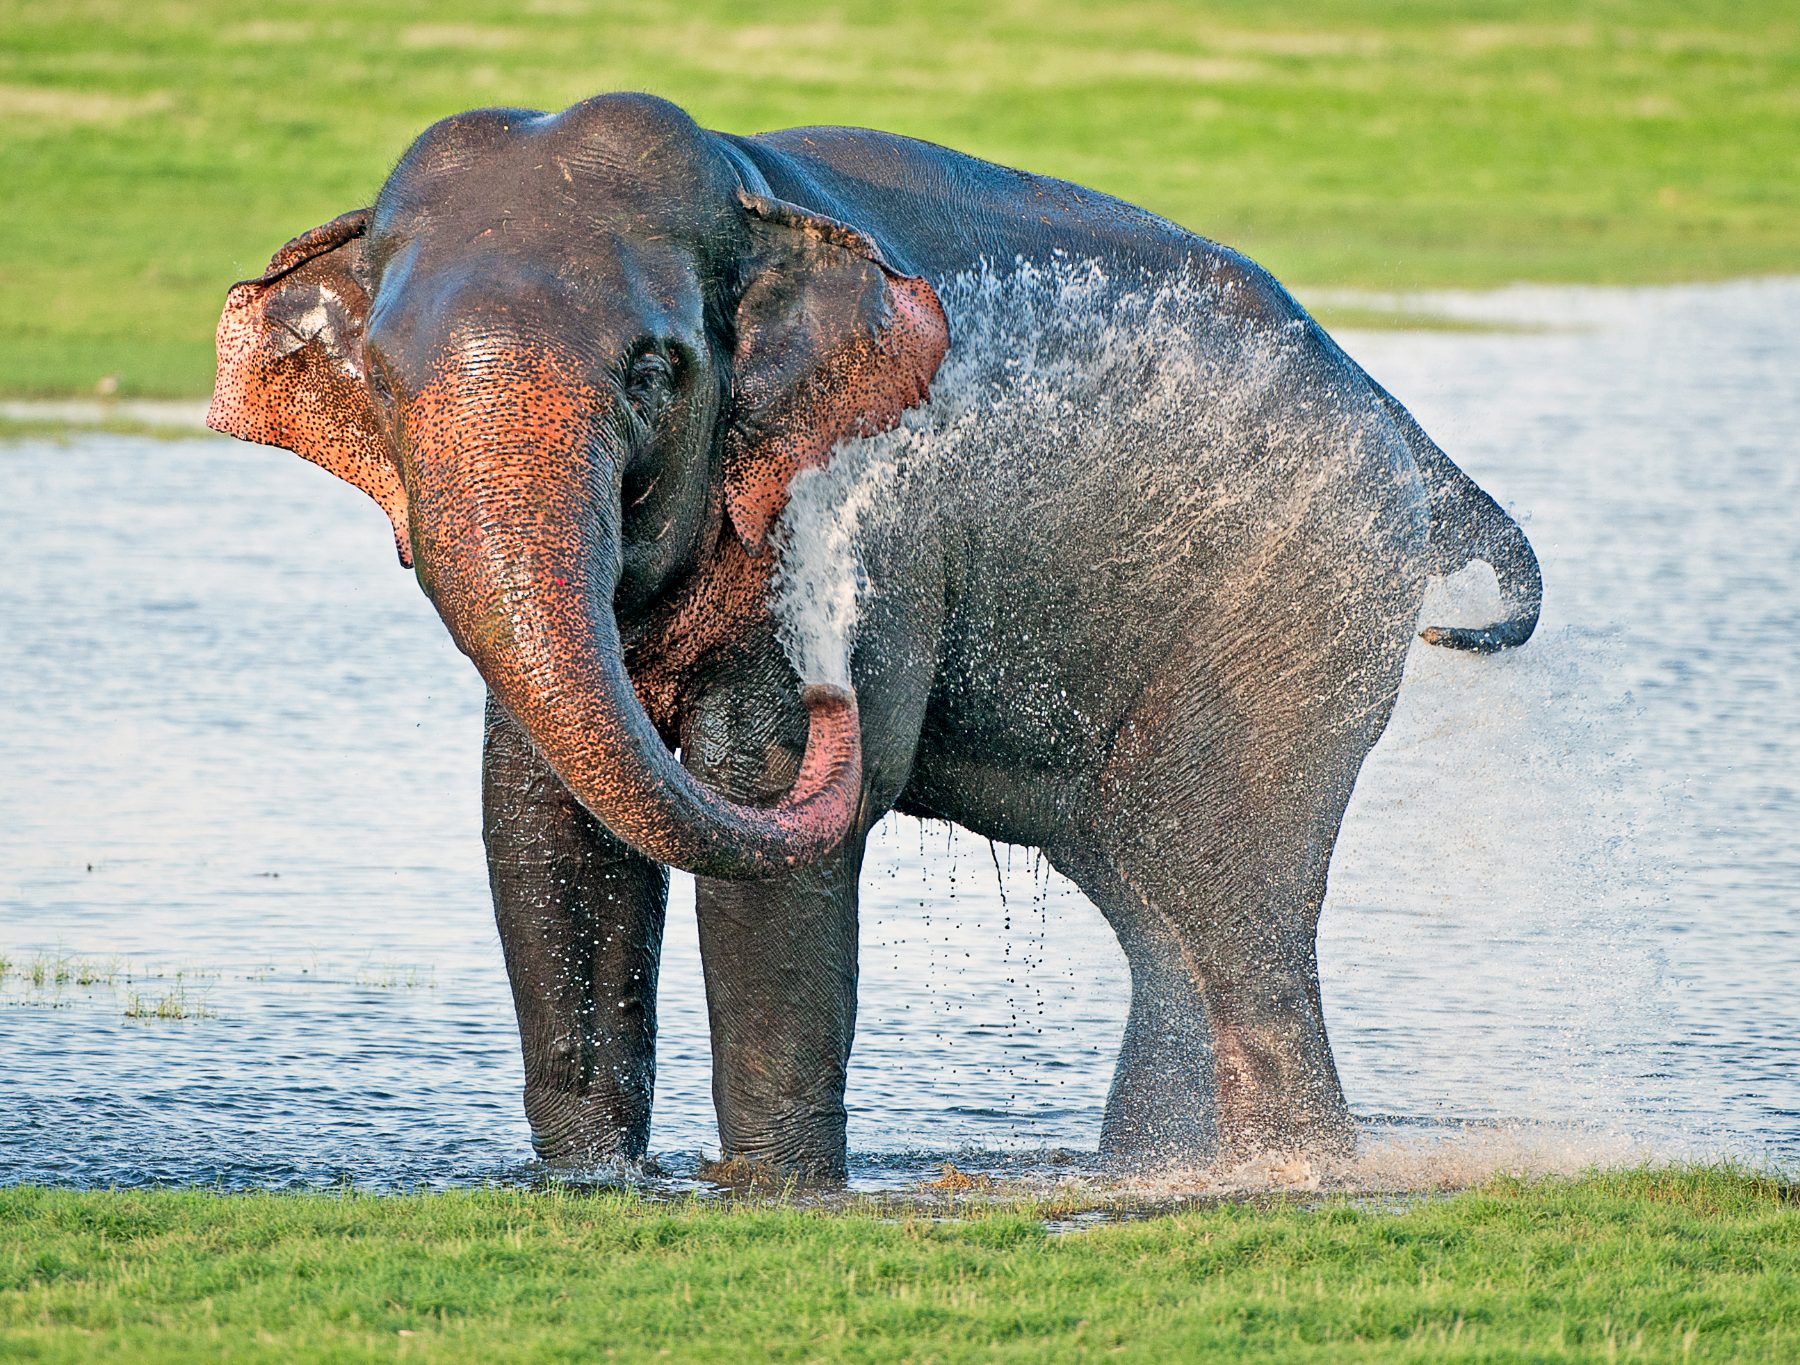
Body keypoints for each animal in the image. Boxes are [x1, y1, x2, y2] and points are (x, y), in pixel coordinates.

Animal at [206, 92, 1540, 1181]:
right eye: (382, 379)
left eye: (654, 371)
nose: (842, 689)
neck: (755, 190)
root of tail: (1405, 432)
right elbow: (539, 823)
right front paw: (588, 1186)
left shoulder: (863, 511)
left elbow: (757, 791)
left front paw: (777, 1193)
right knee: (1161, 914)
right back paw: (1157, 1171)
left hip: (1294, 618)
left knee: (1231, 896)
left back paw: (1283, 1176)